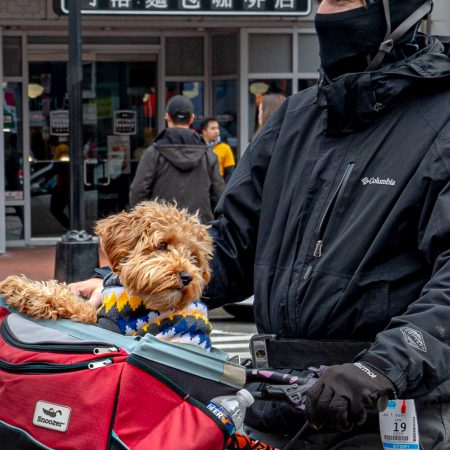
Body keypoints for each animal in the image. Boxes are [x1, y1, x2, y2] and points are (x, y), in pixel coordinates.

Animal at [0, 201, 214, 352]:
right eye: (162, 244)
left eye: (193, 257)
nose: (187, 277)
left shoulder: (104, 324)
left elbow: (70, 302)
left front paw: (20, 288)